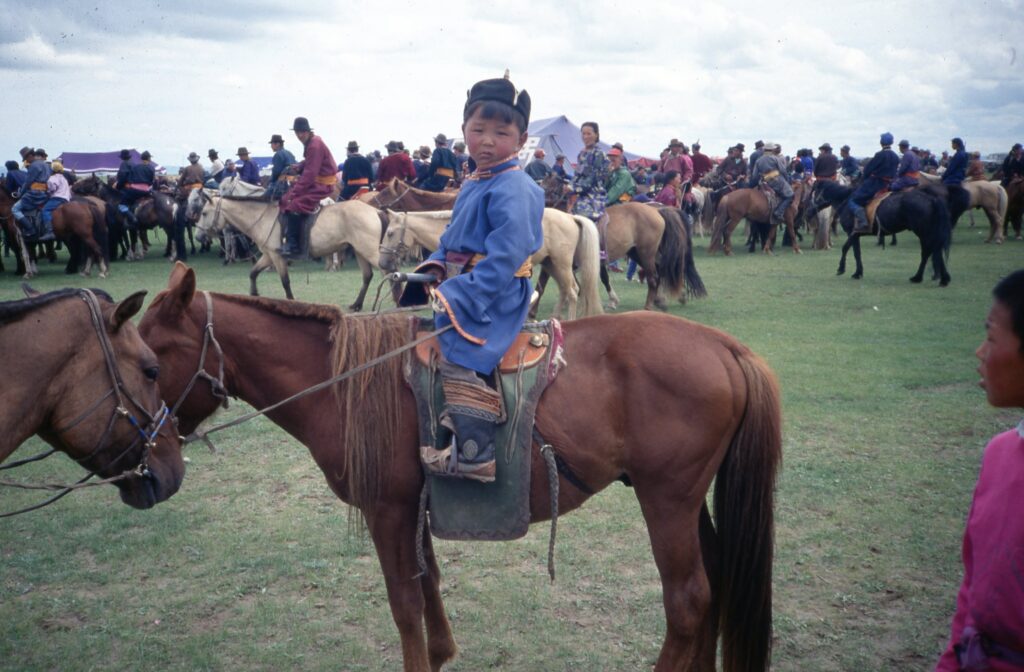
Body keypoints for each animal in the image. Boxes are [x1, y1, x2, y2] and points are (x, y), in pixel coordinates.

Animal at [140, 261, 778, 672]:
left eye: (148, 362)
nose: (147, 468)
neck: (344, 384)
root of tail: (726, 347)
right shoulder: (414, 507)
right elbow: (428, 584)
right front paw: (443, 652)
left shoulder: (388, 511)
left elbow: (403, 602)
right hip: (689, 501)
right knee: (715, 583)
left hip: (666, 500)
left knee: (689, 600)